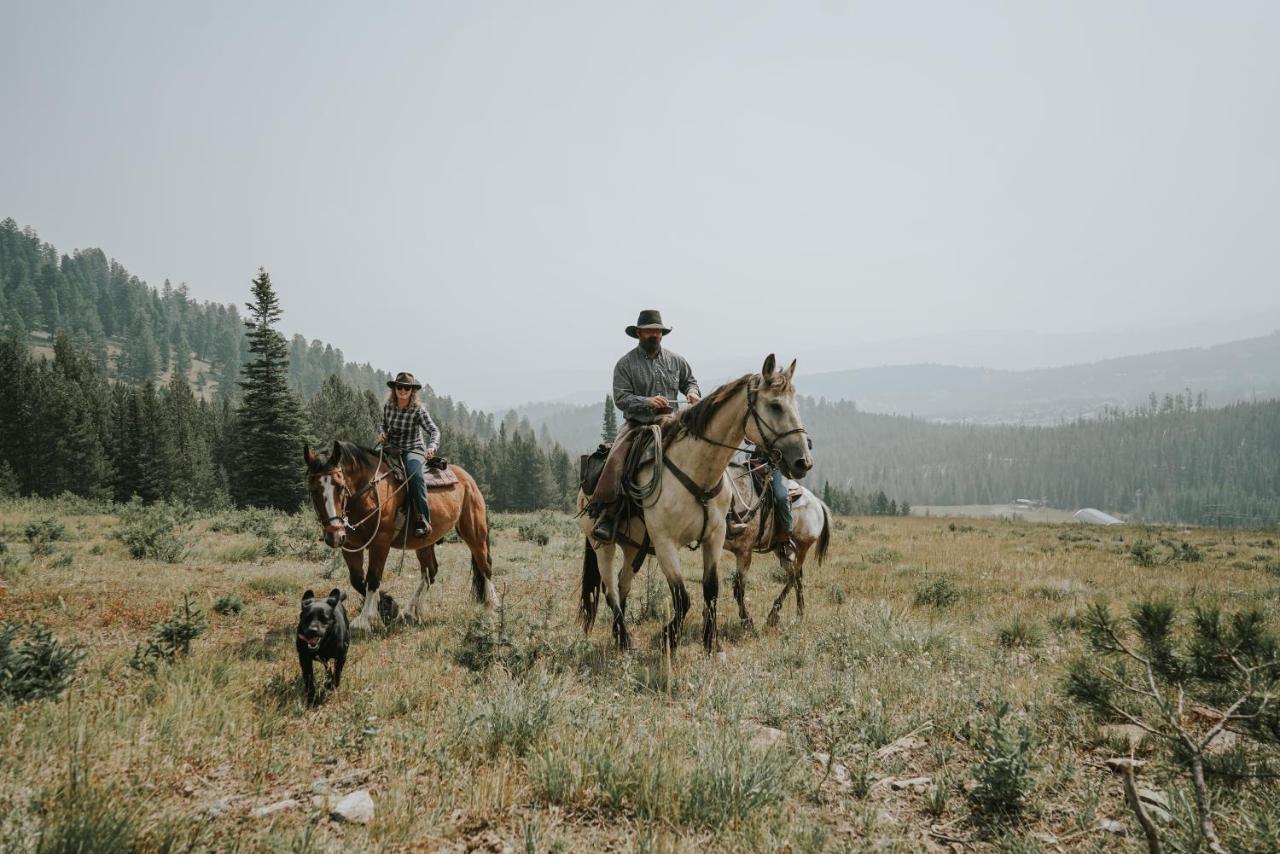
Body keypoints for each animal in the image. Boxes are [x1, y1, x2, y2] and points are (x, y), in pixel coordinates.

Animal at [302, 440, 496, 635]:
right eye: (313, 490)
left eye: (340, 486)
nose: (334, 534)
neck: (368, 491)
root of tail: (469, 479)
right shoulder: (350, 545)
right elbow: (358, 580)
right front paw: (388, 607)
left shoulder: (380, 542)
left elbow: (373, 579)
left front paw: (364, 620)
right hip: (425, 542)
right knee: (430, 572)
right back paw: (410, 611)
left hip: (474, 532)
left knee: (484, 565)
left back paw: (493, 606)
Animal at [578, 353, 808, 655]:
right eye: (774, 405)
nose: (803, 461)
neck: (698, 471)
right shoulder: (665, 543)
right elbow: (682, 598)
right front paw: (668, 637)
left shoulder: (715, 537)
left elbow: (711, 590)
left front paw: (712, 643)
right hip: (602, 544)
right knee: (610, 591)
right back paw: (626, 641)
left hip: (632, 546)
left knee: (622, 583)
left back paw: (620, 637)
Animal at [727, 471, 834, 632]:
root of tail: (817, 502)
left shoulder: (744, 551)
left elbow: (738, 589)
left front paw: (747, 622)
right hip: (783, 551)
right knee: (796, 577)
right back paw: (797, 615)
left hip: (802, 547)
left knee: (794, 577)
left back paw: (775, 615)